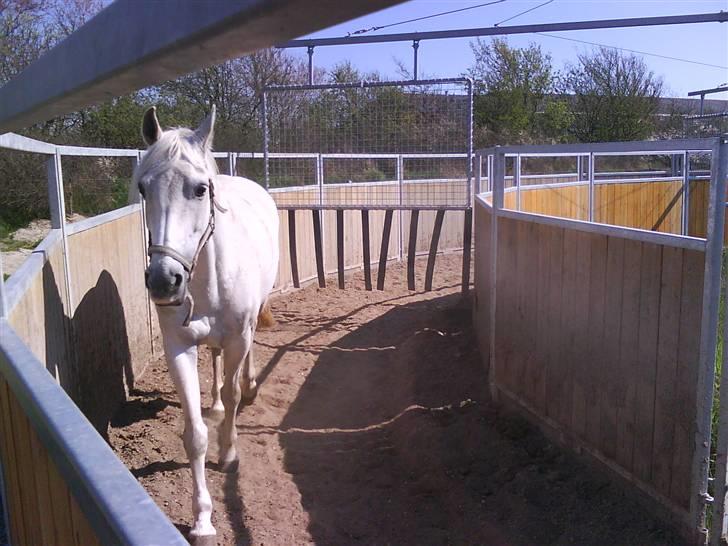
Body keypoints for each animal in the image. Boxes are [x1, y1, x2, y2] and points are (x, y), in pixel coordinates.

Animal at [133, 105, 279, 542]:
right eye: (143, 189)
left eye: (200, 189)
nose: (164, 280)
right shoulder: (178, 346)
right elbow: (195, 434)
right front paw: (202, 519)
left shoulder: (238, 337)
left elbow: (233, 396)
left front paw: (228, 453)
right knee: (212, 363)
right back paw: (211, 401)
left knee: (243, 367)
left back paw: (249, 387)